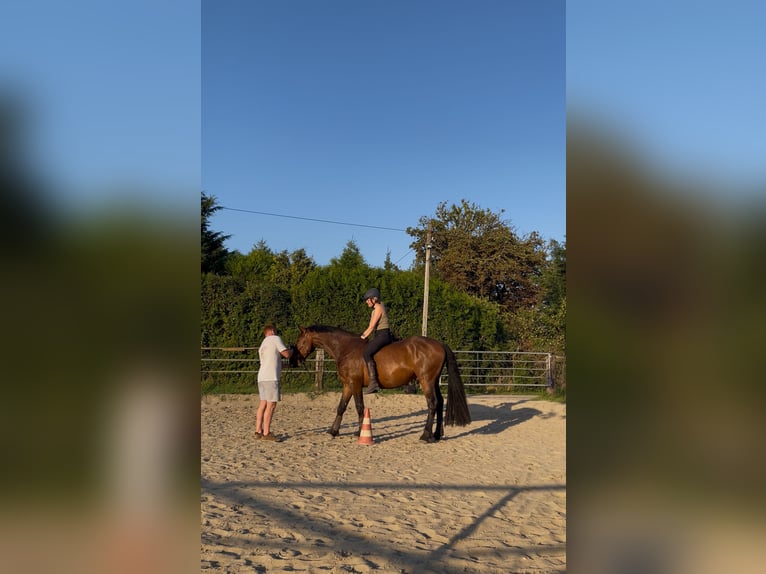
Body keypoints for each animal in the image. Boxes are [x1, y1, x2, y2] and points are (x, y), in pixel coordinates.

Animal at [290, 325, 471, 442]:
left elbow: (359, 407)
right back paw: (437, 434)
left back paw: (425, 435)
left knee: (432, 404)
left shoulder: (355, 385)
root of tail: (439, 344)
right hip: (433, 382)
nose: (294, 361)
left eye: (299, 342)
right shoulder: (347, 385)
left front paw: (359, 432)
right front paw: (333, 431)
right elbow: (341, 407)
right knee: (440, 403)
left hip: (426, 381)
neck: (346, 349)